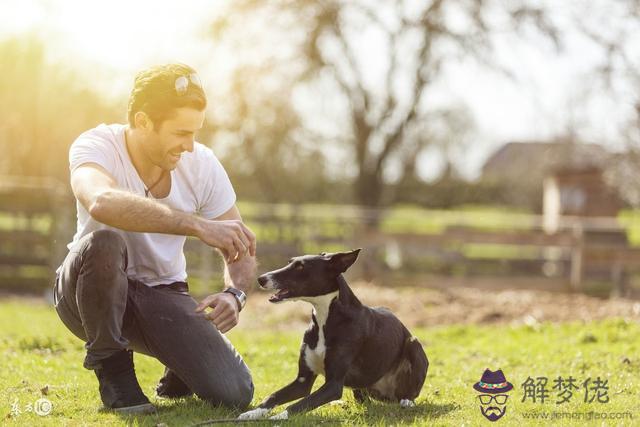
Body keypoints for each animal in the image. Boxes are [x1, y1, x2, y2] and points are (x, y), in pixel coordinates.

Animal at [238, 249, 428, 420]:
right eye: (290, 262)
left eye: (300, 267)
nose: (261, 279)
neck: (326, 317)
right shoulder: (302, 381)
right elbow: (275, 396)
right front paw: (252, 413)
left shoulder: (334, 385)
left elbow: (301, 403)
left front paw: (278, 417)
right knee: (362, 399)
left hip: (414, 344)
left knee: (410, 392)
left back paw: (407, 401)